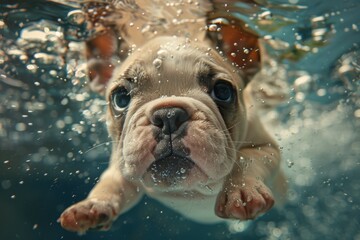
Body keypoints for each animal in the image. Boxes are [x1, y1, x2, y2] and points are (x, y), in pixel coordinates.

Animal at [57, 33, 286, 232]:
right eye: (120, 98)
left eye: (223, 91)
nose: (168, 116)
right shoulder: (122, 163)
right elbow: (111, 184)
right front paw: (93, 205)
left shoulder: (267, 148)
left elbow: (245, 161)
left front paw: (241, 191)